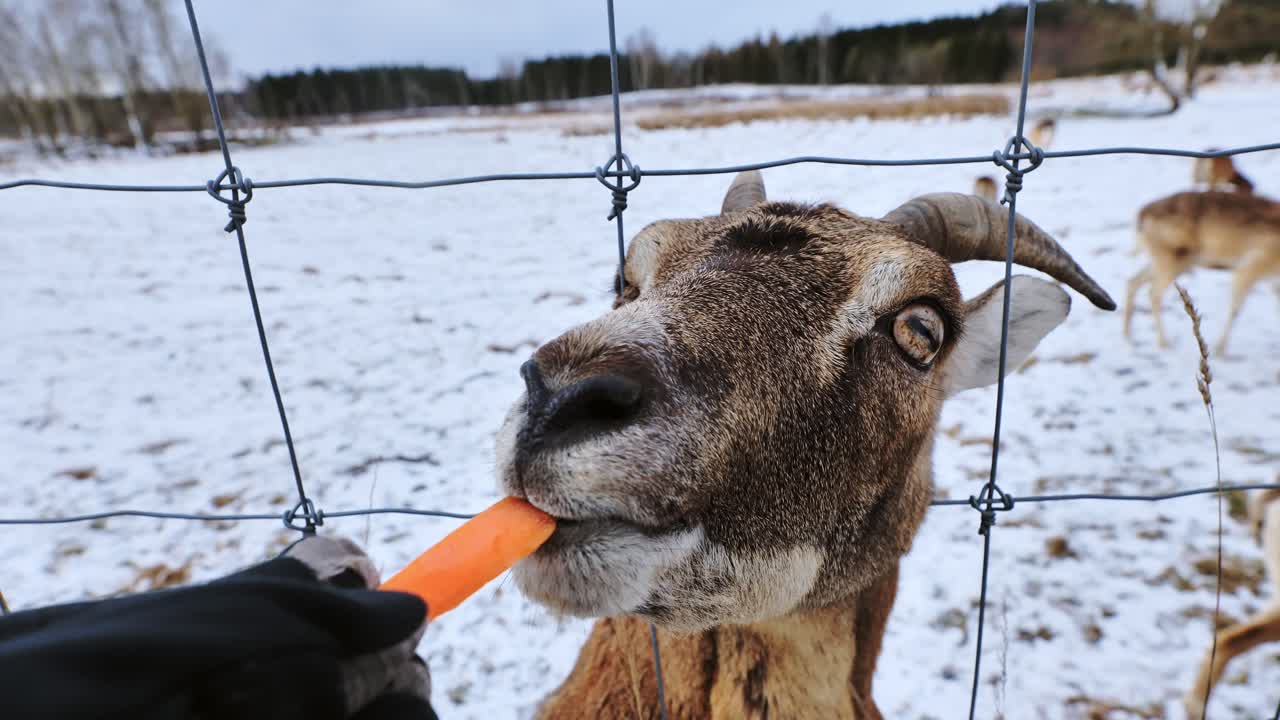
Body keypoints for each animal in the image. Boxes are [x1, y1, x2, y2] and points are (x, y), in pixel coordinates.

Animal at [1123, 190, 1280, 354]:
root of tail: (1141, 215)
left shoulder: (1272, 279)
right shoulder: (1252, 266)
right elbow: (1235, 309)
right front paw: (1220, 349)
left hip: (1168, 260)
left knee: (1133, 282)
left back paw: (1128, 336)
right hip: (1173, 260)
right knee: (1153, 293)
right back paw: (1164, 343)